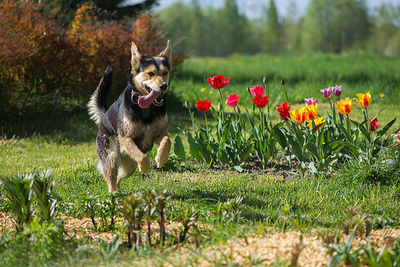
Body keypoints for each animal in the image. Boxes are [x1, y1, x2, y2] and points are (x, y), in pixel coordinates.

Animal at [88, 40, 172, 193]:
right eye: (151, 73)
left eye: (165, 73)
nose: (164, 86)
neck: (146, 108)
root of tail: (104, 117)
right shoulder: (126, 137)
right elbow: (142, 157)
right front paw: (144, 168)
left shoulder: (159, 133)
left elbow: (167, 141)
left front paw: (161, 158)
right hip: (110, 157)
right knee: (111, 178)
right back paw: (112, 194)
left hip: (129, 166)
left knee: (120, 176)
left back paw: (118, 190)